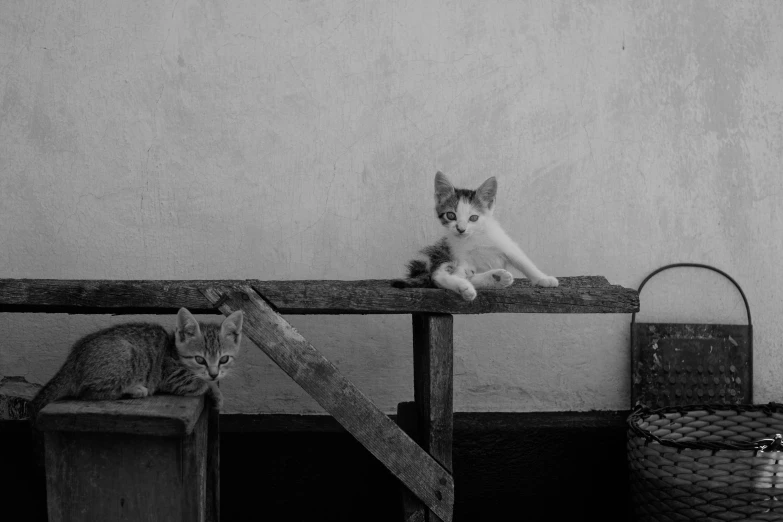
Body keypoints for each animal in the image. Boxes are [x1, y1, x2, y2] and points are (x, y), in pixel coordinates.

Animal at [28, 304, 242, 418]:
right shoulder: (172, 376)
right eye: (199, 359)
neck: (173, 350)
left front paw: (216, 389)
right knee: (87, 392)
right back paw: (134, 390)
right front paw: (214, 391)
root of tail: (72, 359)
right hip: (125, 354)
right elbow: (200, 382)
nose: (214, 373)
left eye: (224, 359)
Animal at [392, 171, 556, 300]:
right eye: (451, 215)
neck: (475, 237)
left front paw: (543, 279)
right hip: (444, 253)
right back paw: (466, 287)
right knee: (439, 276)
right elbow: (458, 272)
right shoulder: (460, 254)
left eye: (474, 218)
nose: (461, 229)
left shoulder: (507, 245)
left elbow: (525, 263)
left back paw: (496, 278)